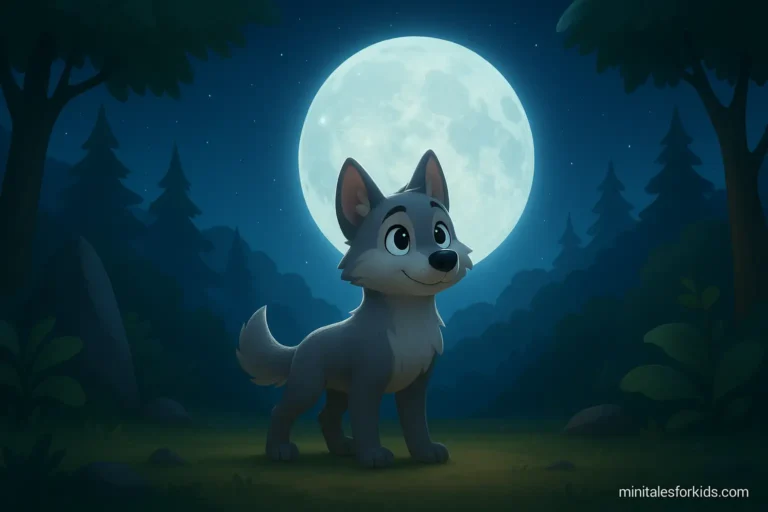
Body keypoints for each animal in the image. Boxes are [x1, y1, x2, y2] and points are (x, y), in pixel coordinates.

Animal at [236, 149, 473, 468]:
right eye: (400, 239)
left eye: (440, 233)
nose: (445, 258)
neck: (409, 320)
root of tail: (302, 344)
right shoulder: (366, 384)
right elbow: (366, 421)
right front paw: (372, 455)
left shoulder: (415, 386)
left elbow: (415, 424)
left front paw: (425, 452)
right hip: (309, 386)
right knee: (282, 410)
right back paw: (279, 450)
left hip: (338, 391)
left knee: (326, 416)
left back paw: (341, 448)